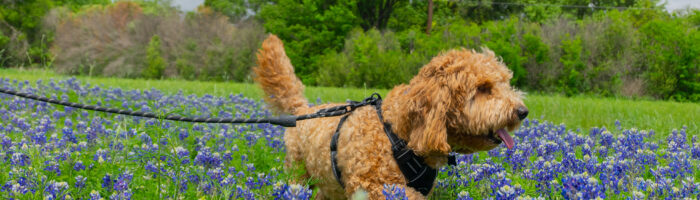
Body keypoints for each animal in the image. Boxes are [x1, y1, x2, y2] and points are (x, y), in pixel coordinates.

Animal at [254, 35, 528, 199]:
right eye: (483, 88)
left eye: (505, 82)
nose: (522, 112)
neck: (401, 134)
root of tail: (302, 109)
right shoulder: (377, 185)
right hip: (298, 173)